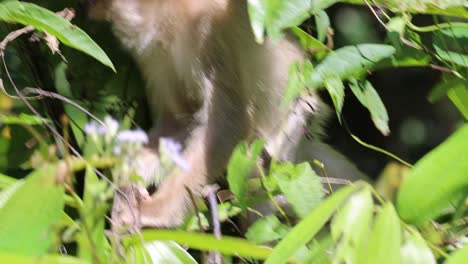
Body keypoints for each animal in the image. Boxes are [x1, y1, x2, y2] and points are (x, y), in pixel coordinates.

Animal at [87, 0, 366, 227]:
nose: (91, 7)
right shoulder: (155, 54)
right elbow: (179, 120)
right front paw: (130, 168)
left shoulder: (209, 32)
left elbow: (226, 126)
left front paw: (155, 212)